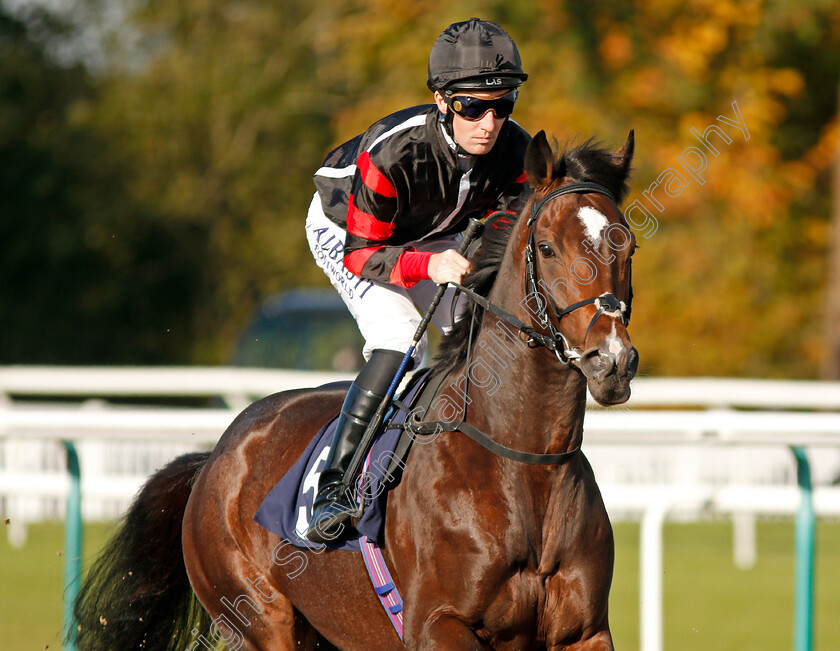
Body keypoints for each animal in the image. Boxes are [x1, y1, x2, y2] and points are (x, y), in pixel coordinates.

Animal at [74, 130, 636, 648]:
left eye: (626, 244)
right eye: (546, 248)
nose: (612, 361)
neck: (526, 463)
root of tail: (213, 460)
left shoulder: (585, 632)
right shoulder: (437, 625)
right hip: (257, 621)